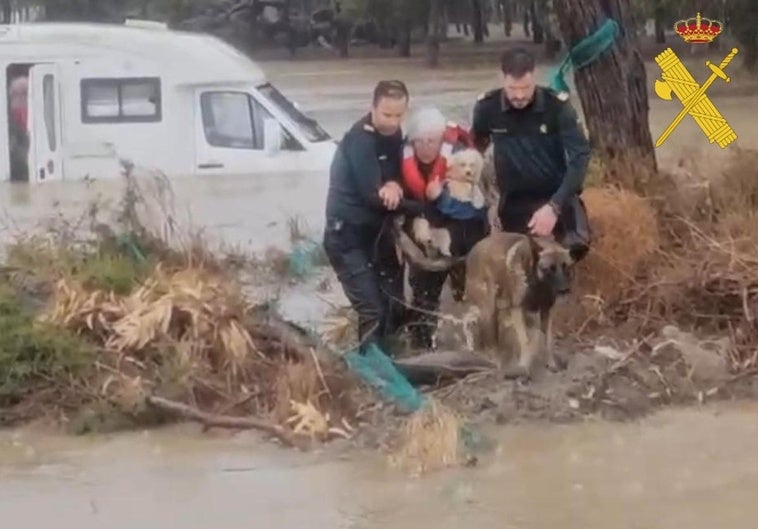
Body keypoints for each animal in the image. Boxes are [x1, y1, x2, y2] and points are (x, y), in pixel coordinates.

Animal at [464, 233, 576, 378]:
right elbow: (525, 341)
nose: (565, 290)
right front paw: (523, 367)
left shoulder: (547, 311)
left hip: (498, 308)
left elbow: (548, 340)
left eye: (566, 267)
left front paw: (551, 364)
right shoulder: (518, 310)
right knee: (487, 334)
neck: (537, 284)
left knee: (470, 318)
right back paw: (493, 361)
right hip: (489, 309)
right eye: (548, 269)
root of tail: (473, 250)